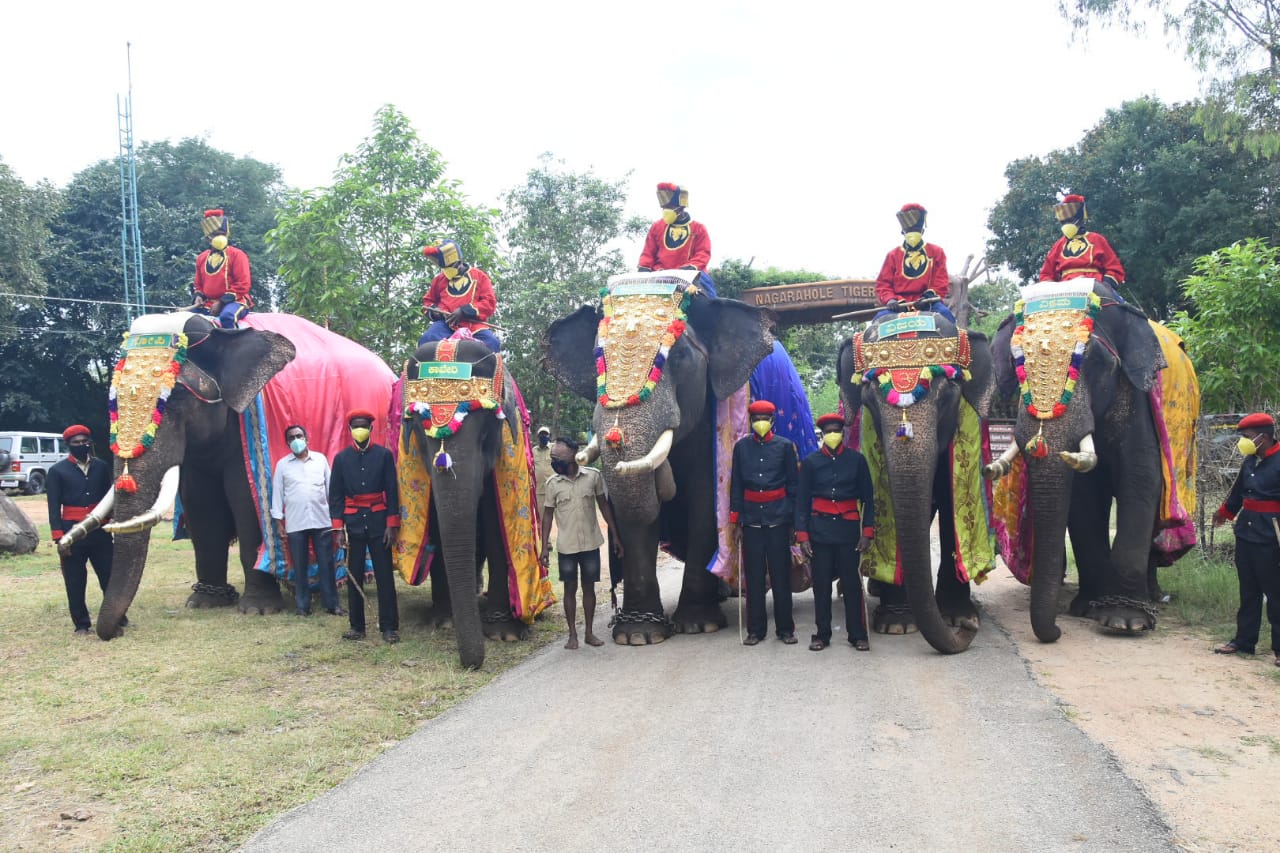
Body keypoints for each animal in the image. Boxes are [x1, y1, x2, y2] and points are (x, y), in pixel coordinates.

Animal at [58, 312, 394, 637]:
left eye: (175, 396)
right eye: (113, 402)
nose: (117, 629)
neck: (220, 329)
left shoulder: (245, 427)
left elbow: (245, 503)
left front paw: (258, 610)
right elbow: (203, 509)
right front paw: (204, 602)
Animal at [394, 335, 555, 666]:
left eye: (485, 437)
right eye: (419, 434)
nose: (472, 664)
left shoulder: (504, 450)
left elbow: (495, 526)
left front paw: (504, 634)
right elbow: (438, 524)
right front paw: (444, 621)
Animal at [537, 268, 768, 640]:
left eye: (679, 359)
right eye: (597, 360)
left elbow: (705, 501)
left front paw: (698, 625)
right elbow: (631, 518)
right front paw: (638, 635)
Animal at [839, 303, 998, 650]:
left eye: (948, 398)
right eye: (869, 401)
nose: (969, 629)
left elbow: (950, 508)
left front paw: (957, 615)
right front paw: (896, 625)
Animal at [983, 281, 1203, 640]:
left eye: (1097, 361)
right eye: (1017, 363)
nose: (1057, 632)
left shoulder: (1137, 397)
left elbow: (1140, 479)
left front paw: (1126, 621)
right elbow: (1083, 497)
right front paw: (1088, 609)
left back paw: (1154, 597)